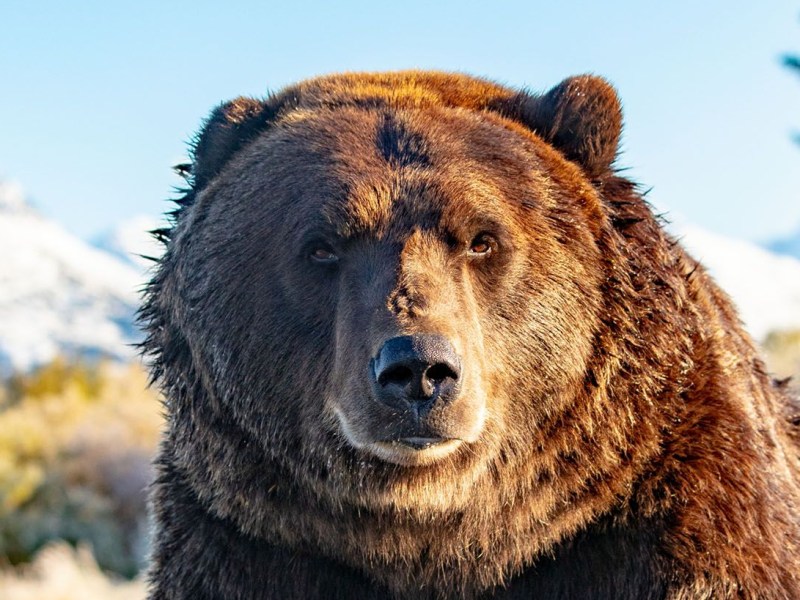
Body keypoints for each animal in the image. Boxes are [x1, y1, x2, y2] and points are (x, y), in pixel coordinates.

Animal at [141, 71, 800, 599]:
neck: (445, 539)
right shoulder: (247, 540)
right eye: (322, 246)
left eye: (482, 239)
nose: (418, 369)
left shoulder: (671, 519)